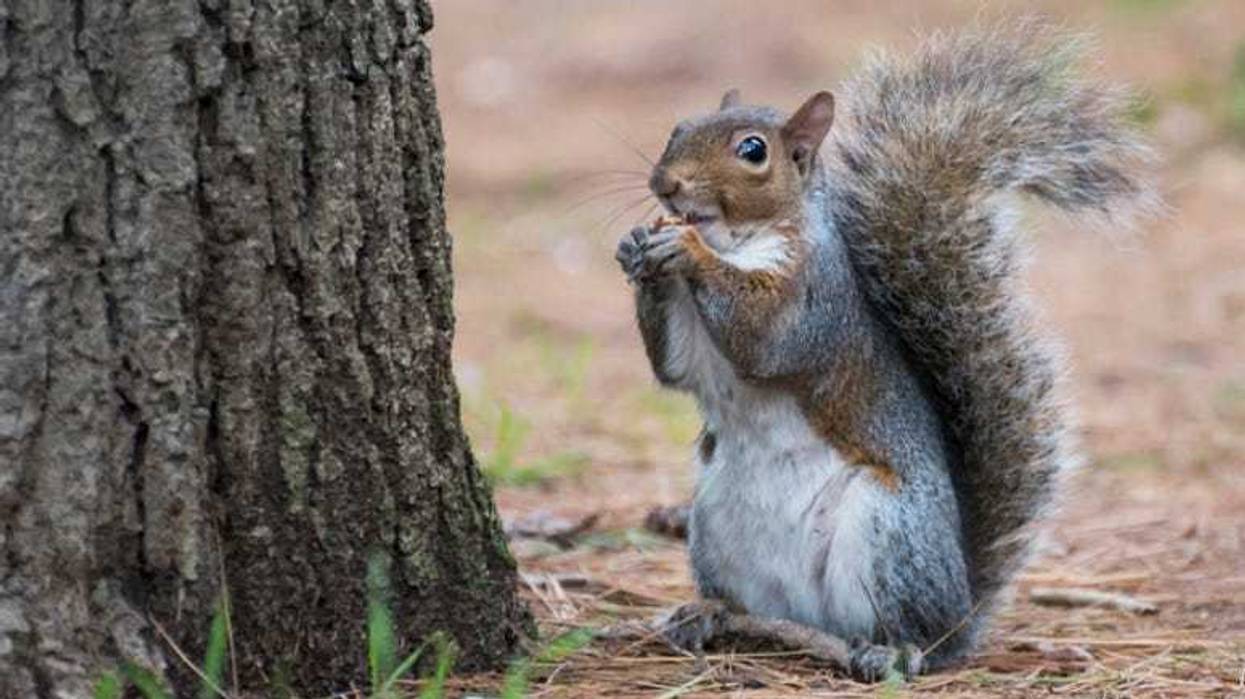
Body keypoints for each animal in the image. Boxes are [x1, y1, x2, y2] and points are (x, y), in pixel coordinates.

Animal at [614, 23, 1155, 680]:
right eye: (678, 128)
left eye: (753, 151)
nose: (665, 185)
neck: (736, 240)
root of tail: (962, 611)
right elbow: (673, 367)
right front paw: (637, 247)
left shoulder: (813, 299)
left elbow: (762, 337)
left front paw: (687, 249)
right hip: (715, 523)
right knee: (750, 604)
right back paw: (708, 614)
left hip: (889, 532)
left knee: (913, 632)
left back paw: (893, 649)